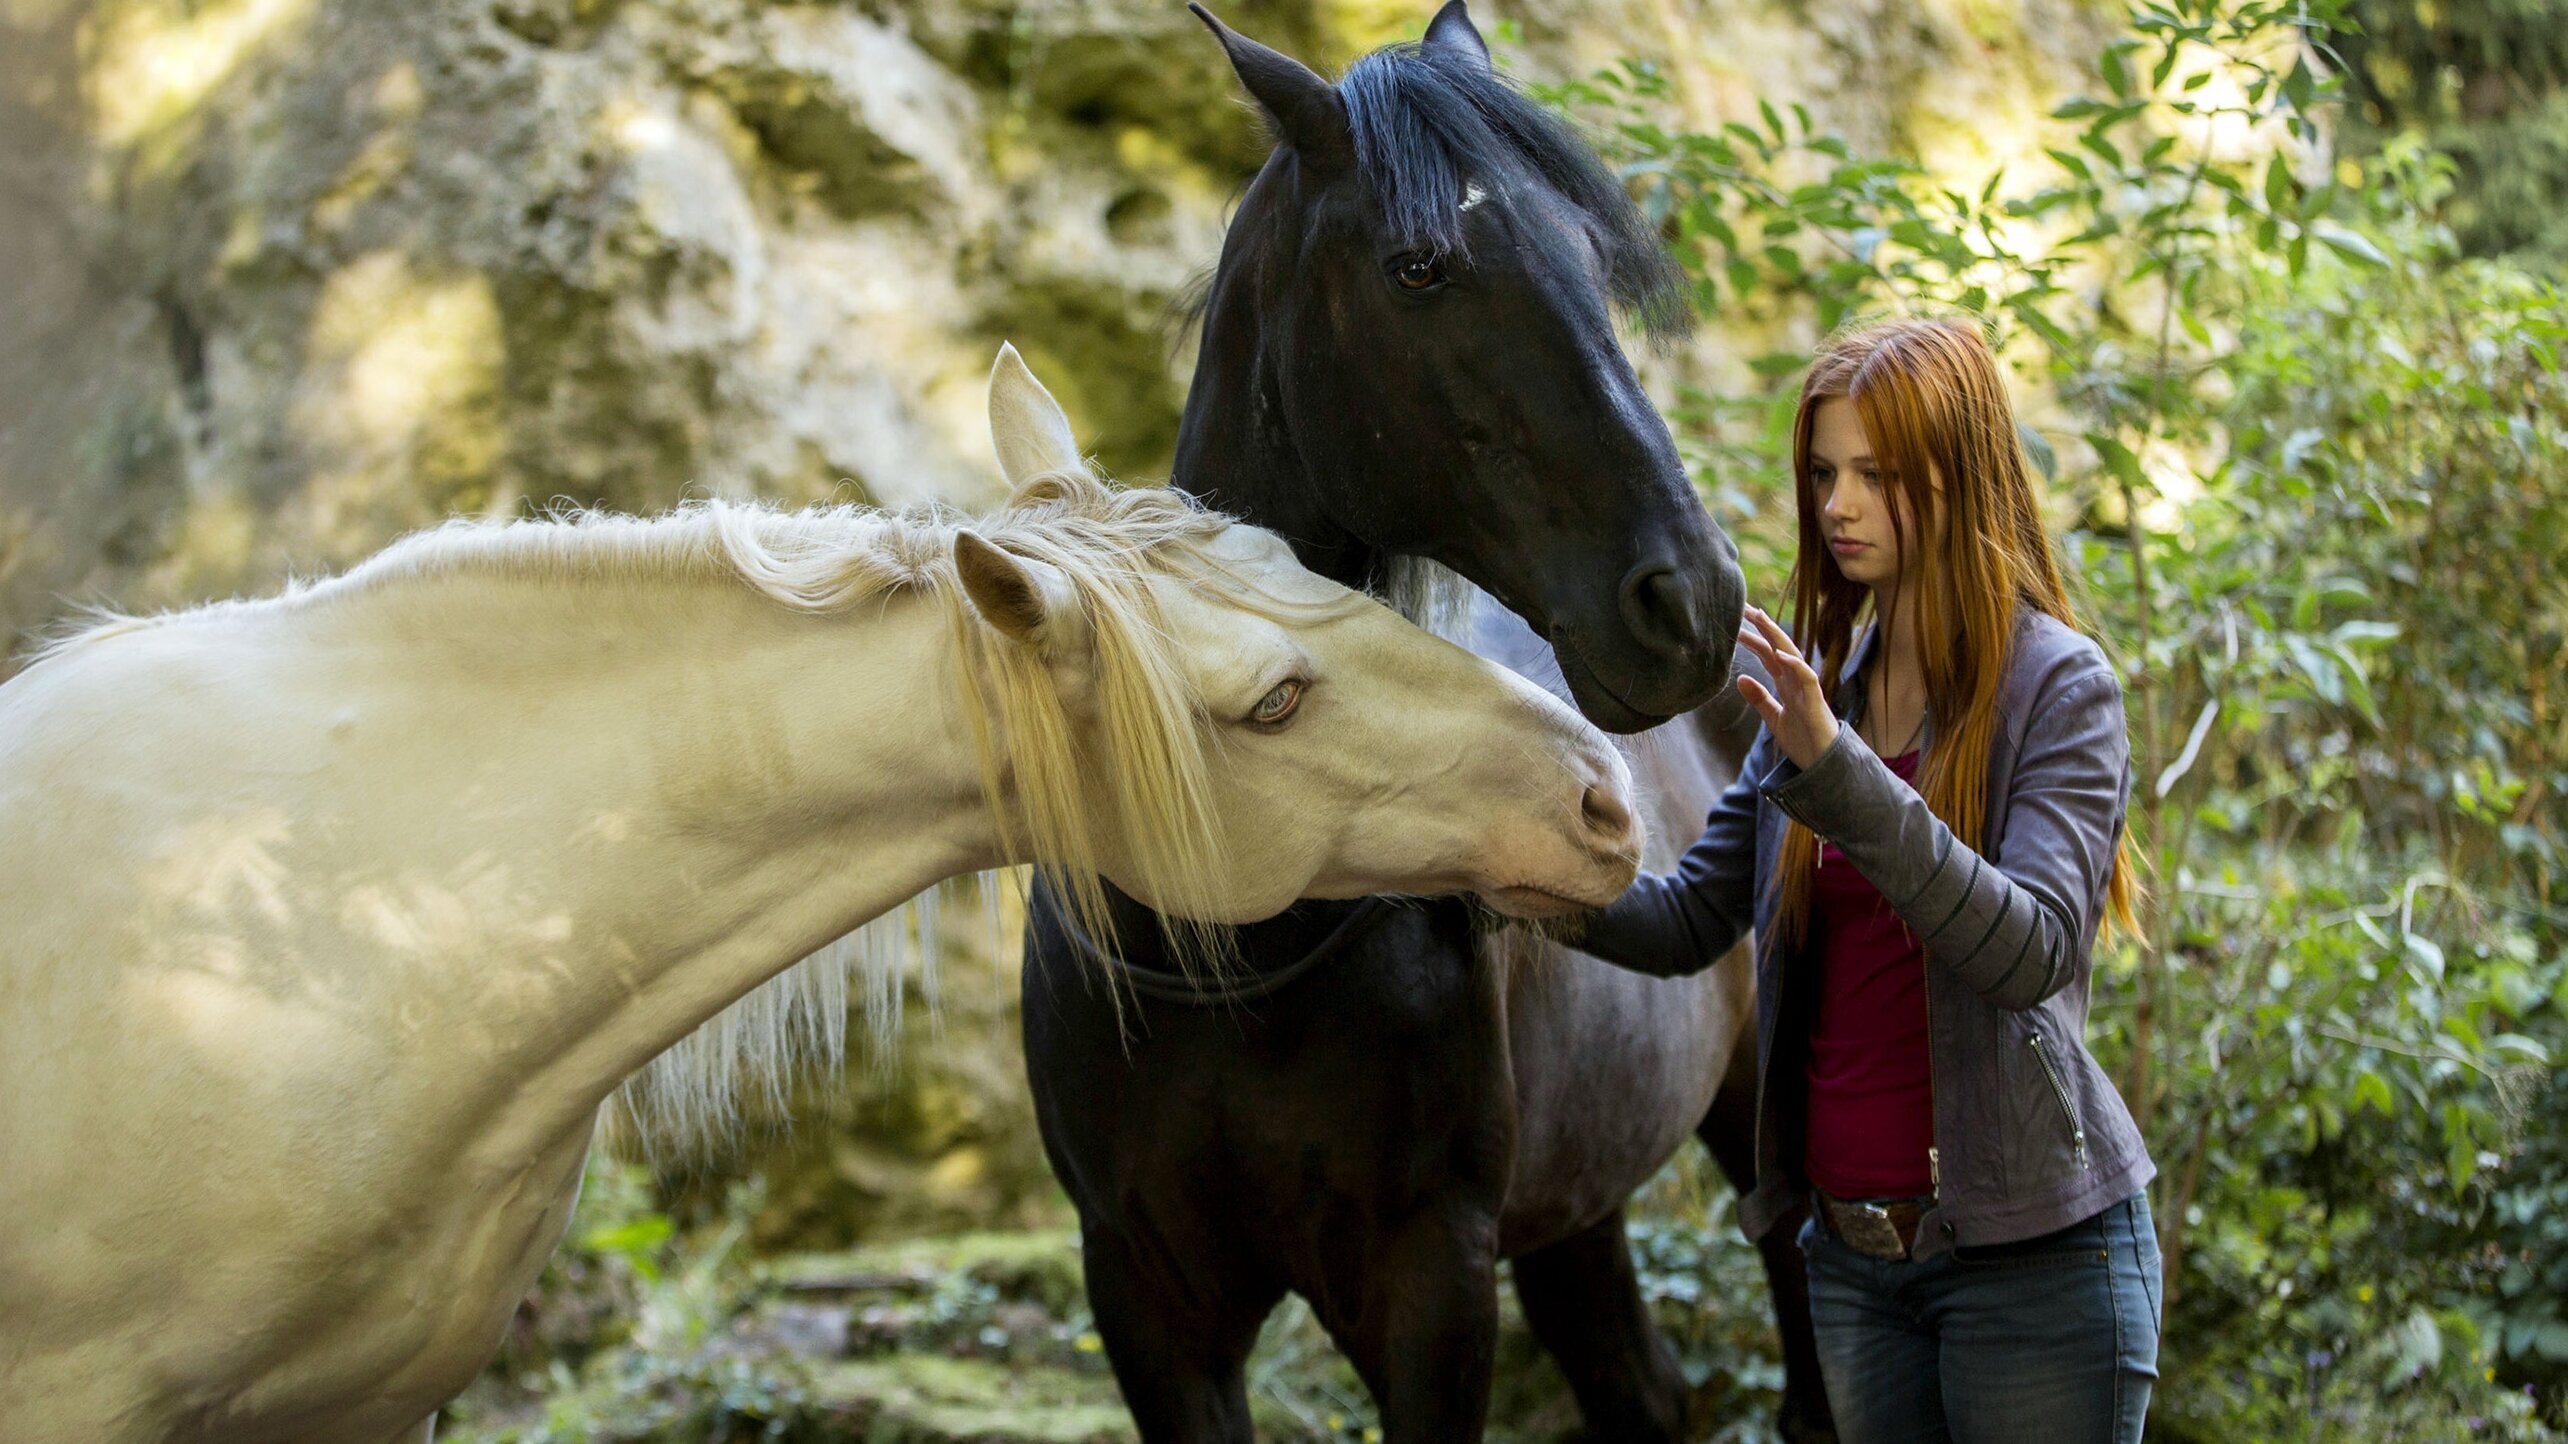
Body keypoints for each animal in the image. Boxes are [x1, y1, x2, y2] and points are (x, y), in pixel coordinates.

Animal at [1011, 5, 1838, 1428]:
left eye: (1593, 257)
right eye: (1418, 268)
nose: (1691, 602)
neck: (1226, 943)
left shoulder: (1429, 1279)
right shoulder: (1145, 1297)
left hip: (1750, 1137)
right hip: (1573, 1214)